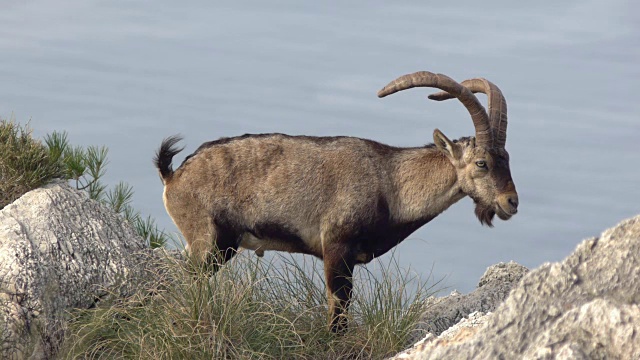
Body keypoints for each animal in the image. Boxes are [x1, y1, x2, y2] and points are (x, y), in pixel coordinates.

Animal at [156, 71, 520, 334]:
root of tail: (173, 176)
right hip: (209, 242)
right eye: (482, 163)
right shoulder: (335, 250)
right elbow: (338, 315)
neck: (389, 182)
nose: (511, 202)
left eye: (507, 159)